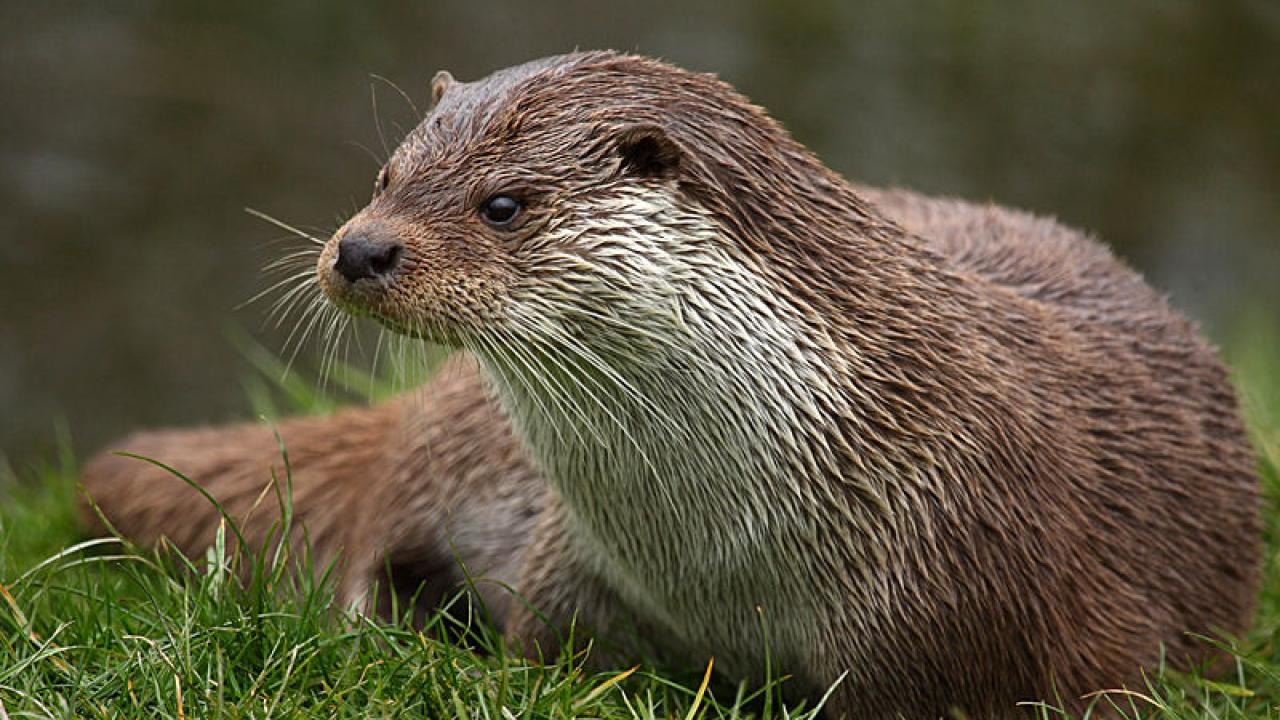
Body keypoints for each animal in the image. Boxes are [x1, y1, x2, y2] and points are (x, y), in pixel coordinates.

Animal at [82, 51, 1259, 717]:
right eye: (387, 174)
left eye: (504, 204)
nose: (361, 248)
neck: (719, 558)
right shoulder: (572, 568)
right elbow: (543, 650)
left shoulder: (951, 603)